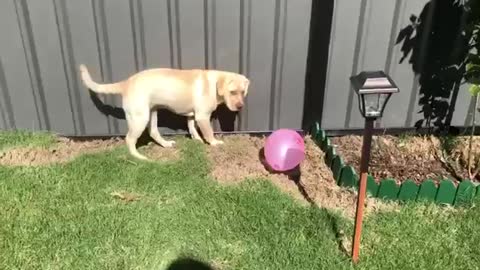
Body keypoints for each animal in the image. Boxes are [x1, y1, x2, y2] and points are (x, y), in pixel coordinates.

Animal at [78, 64, 251, 159]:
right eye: (232, 92)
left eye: (243, 92)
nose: (240, 106)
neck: (214, 84)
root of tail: (126, 83)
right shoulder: (203, 116)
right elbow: (208, 132)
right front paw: (214, 143)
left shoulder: (193, 115)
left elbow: (192, 128)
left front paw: (196, 139)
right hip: (140, 117)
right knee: (129, 139)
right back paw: (139, 157)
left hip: (152, 113)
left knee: (153, 132)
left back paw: (166, 144)